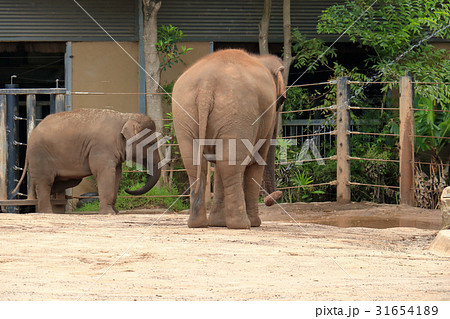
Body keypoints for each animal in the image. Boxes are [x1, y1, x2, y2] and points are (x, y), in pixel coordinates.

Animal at [12, 109, 162, 215]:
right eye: (151, 143)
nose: (127, 189)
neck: (125, 117)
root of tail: (32, 133)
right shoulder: (102, 147)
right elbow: (104, 172)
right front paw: (108, 213)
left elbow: (117, 174)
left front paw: (115, 212)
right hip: (40, 154)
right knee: (45, 181)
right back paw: (47, 212)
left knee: (60, 181)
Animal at [172, 48, 284, 230]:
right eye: (281, 101)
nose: (275, 196)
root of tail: (206, 86)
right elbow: (257, 160)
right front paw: (255, 223)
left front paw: (218, 223)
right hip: (237, 113)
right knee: (230, 166)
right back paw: (242, 225)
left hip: (185, 113)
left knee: (196, 163)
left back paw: (198, 224)